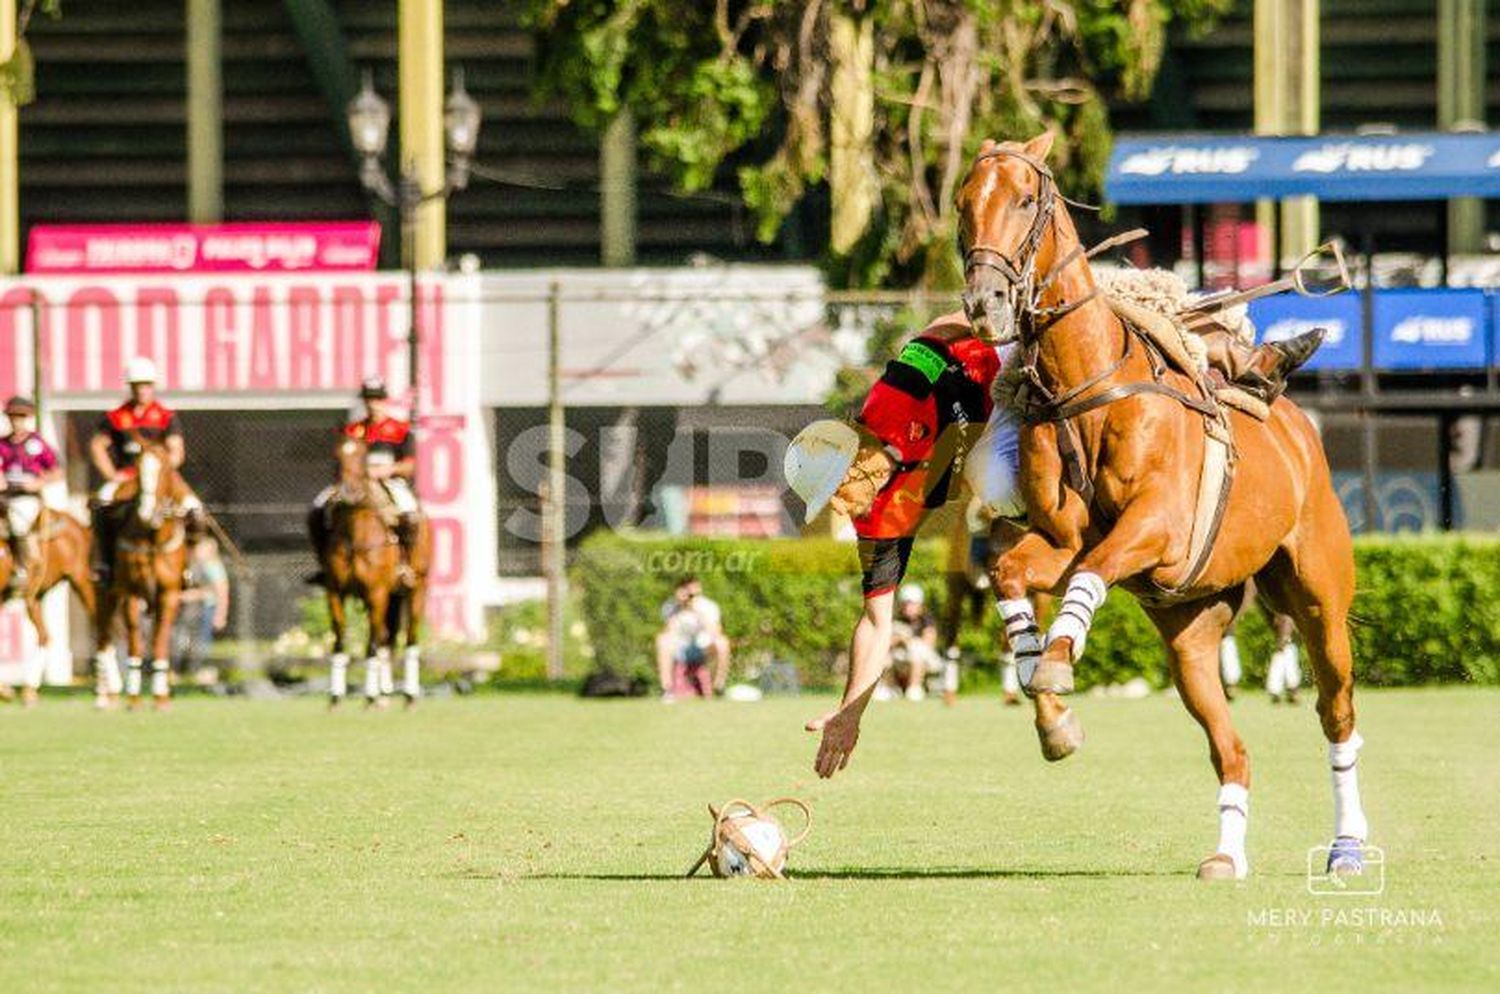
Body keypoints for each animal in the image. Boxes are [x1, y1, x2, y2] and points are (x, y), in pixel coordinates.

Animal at [0, 506, 105, 707]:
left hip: (83, 583)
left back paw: (105, 689)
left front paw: (5, 690)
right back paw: (29, 691)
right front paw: (6, 690)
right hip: (35, 596)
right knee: (44, 636)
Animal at [93, 440, 193, 707]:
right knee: (103, 635)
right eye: (138, 469)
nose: (148, 512)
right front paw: (134, 697)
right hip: (104, 592)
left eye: (166, 468)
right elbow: (135, 641)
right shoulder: (132, 593)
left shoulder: (169, 594)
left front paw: (161, 696)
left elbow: (161, 640)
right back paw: (103, 696)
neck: (152, 536)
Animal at [318, 440, 429, 710]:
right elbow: (339, 639)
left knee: (409, 638)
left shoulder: (376, 593)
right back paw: (385, 694)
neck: (354, 538)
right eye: (337, 456)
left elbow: (371, 645)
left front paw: (369, 696)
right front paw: (335, 696)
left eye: (362, 457)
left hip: (417, 588)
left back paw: (409, 695)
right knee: (387, 637)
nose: (348, 492)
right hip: (392, 597)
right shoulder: (335, 593)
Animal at [960, 134, 1374, 887]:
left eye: (1027, 200)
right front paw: (1050, 708)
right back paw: (1227, 854)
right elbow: (1014, 572)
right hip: (1190, 634)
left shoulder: (1157, 529)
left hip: (1319, 597)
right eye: (962, 201)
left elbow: (1092, 571)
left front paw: (1056, 666)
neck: (1084, 384)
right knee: (1230, 746)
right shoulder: (1060, 537)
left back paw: (1348, 846)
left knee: (1337, 715)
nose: (985, 300)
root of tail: (1301, 430)